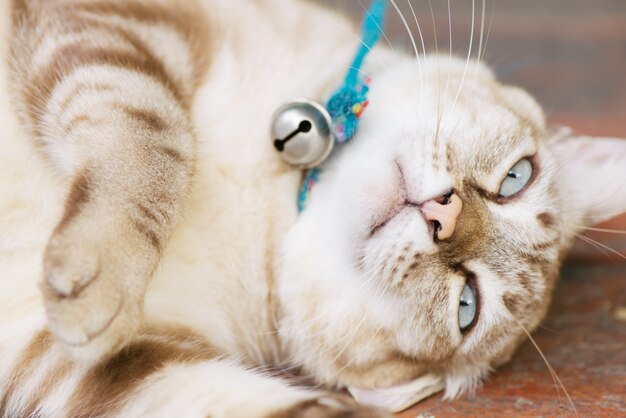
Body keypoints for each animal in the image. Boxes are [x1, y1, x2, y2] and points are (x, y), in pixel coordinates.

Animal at [1, 0, 624, 416]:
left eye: (466, 306)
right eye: (517, 178)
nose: (442, 218)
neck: (268, 210)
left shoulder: (72, 369)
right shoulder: (123, 26)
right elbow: (155, 143)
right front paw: (99, 274)